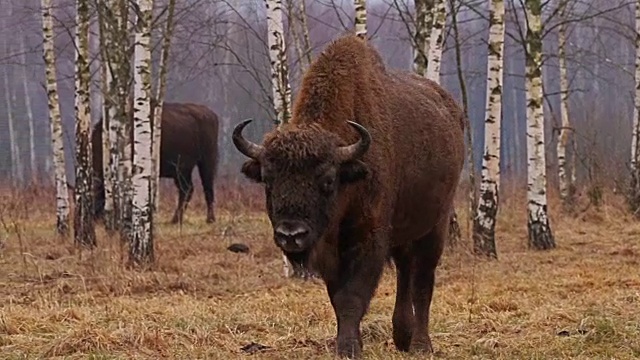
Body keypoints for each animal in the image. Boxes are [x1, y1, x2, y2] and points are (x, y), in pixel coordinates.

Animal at [90, 101, 220, 224]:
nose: (94, 217)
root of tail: (212, 115)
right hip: (181, 171)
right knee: (187, 189)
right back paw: (176, 219)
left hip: (206, 162)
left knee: (207, 188)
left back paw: (210, 219)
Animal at [232, 34, 462, 358]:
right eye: (267, 179)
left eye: (328, 180)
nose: (291, 234)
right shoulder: (330, 251)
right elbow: (337, 297)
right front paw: (349, 343)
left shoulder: (368, 239)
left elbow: (352, 296)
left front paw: (350, 348)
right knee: (405, 271)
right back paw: (402, 336)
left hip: (436, 224)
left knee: (422, 281)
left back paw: (420, 345)